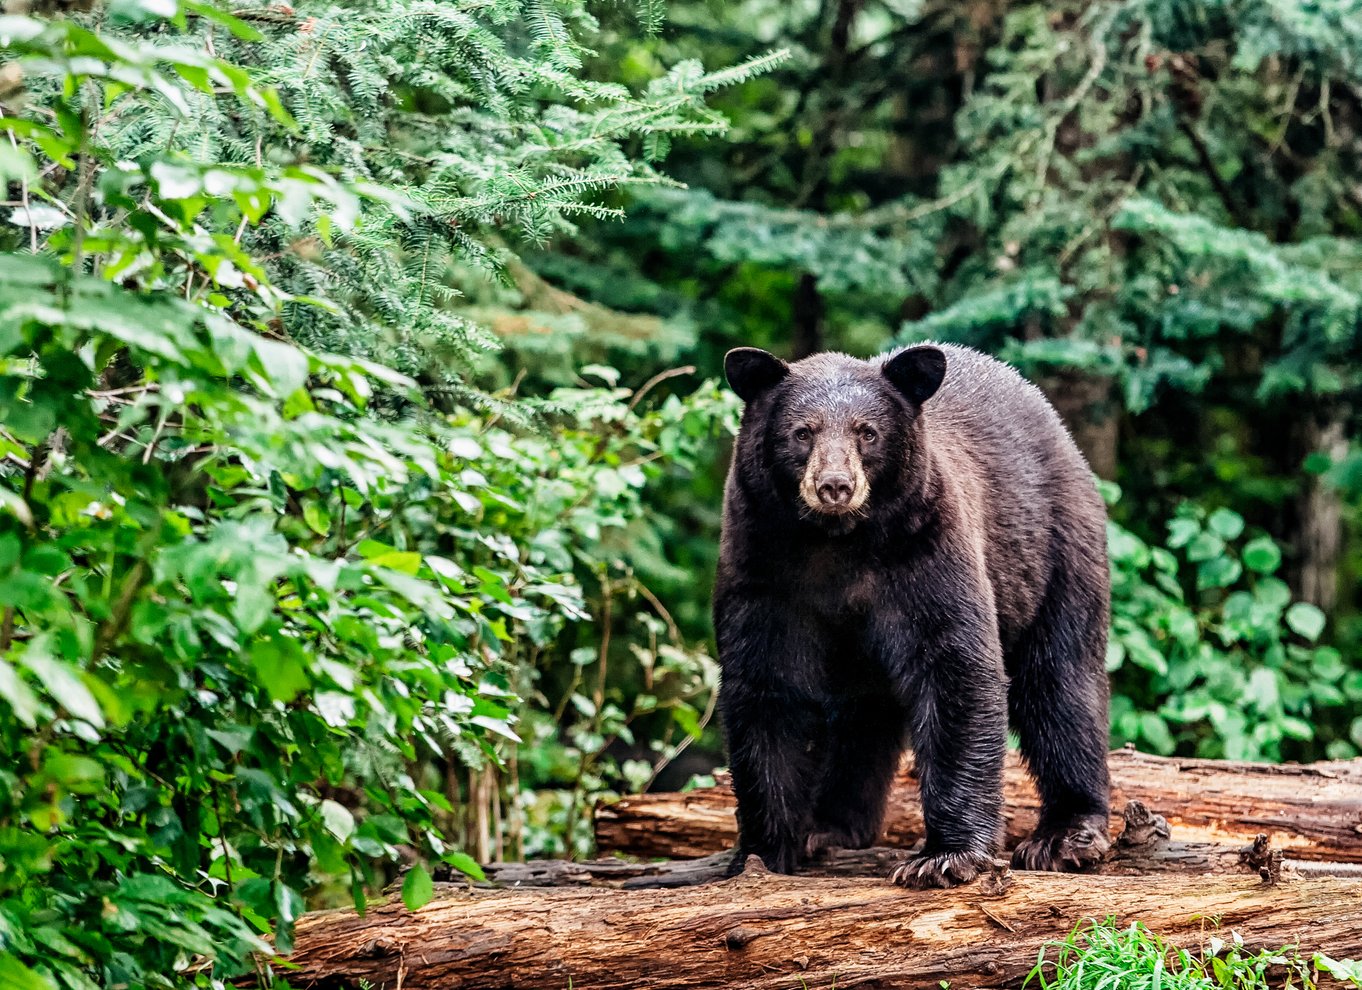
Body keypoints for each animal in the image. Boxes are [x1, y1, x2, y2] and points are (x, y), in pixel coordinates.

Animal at [713, 343, 1105, 893]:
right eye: (802, 432)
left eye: (867, 431)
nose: (835, 485)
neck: (836, 543)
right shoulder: (762, 565)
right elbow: (766, 686)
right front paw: (763, 851)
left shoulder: (925, 548)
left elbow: (956, 666)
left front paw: (945, 857)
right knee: (862, 715)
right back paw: (830, 826)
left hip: (1055, 551)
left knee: (1061, 681)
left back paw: (1065, 833)